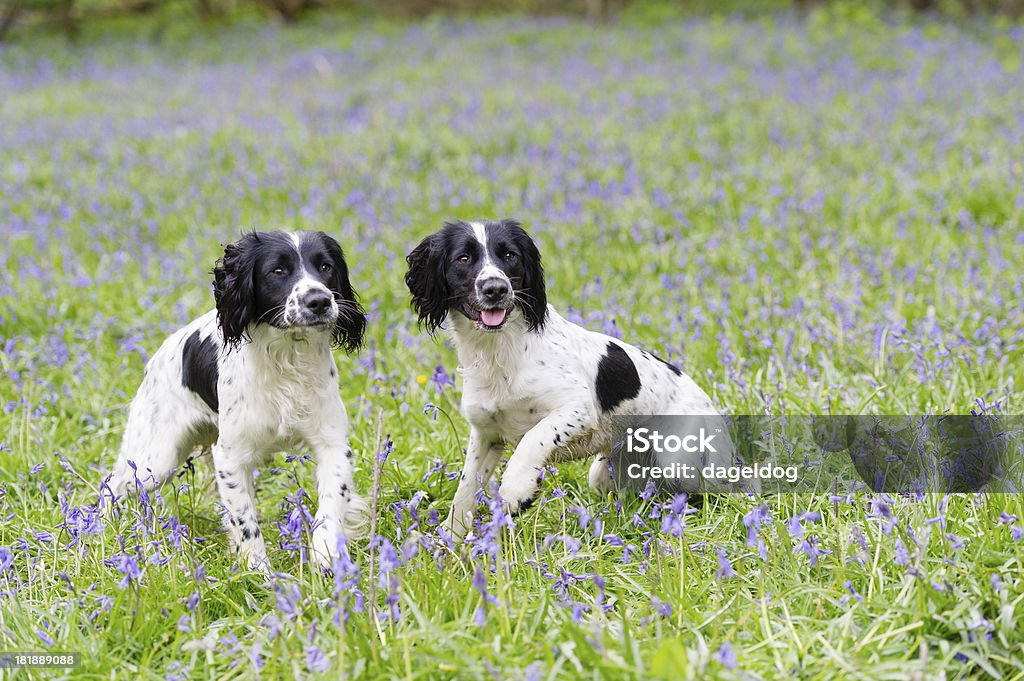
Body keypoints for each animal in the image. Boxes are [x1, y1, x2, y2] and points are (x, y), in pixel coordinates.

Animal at [102, 231, 368, 569]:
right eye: (277, 270)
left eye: (326, 266)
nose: (319, 301)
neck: (286, 358)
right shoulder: (230, 457)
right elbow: (246, 524)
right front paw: (259, 572)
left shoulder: (333, 444)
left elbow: (332, 505)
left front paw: (326, 556)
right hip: (156, 458)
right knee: (111, 486)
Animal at [403, 218, 757, 536]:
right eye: (463, 258)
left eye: (509, 255)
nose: (496, 289)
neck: (500, 353)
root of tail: (709, 405)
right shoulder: (487, 434)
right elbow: (464, 492)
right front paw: (449, 543)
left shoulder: (577, 408)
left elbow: (534, 438)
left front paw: (517, 489)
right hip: (605, 474)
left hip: (680, 462)